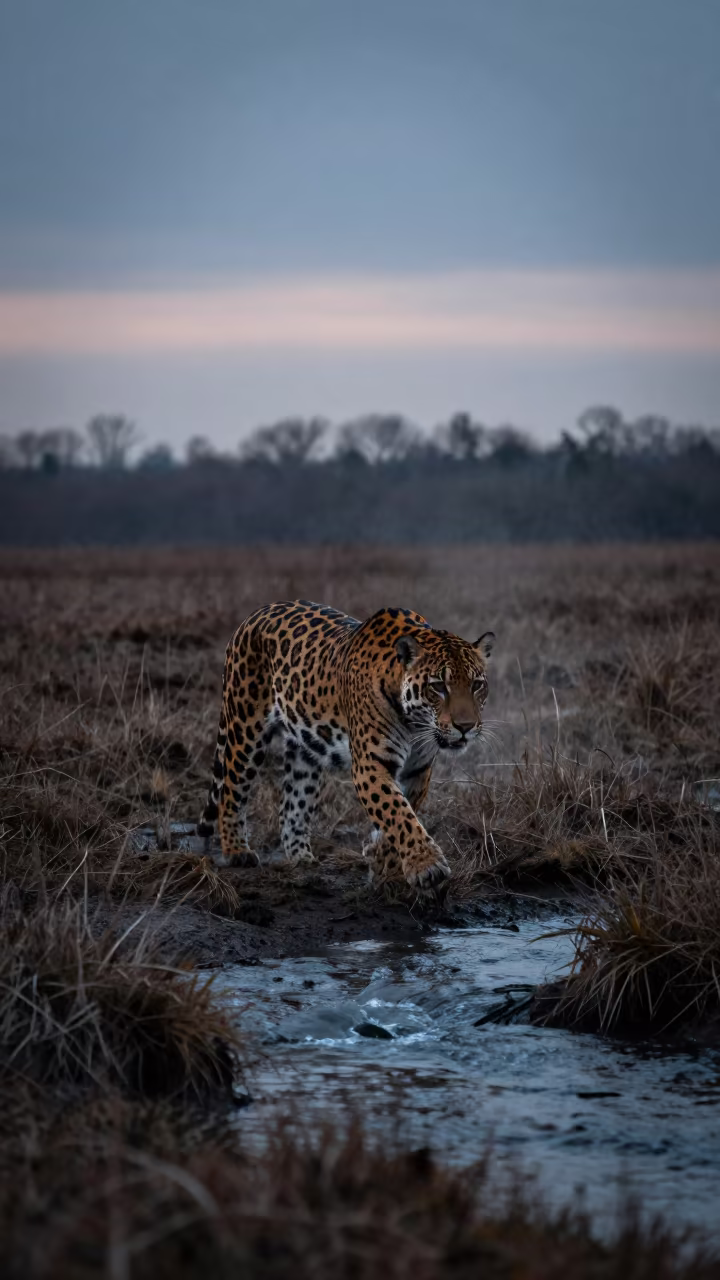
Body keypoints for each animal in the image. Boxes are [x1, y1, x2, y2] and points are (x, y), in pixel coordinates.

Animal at [197, 600, 494, 891]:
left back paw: (301, 857)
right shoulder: (370, 765)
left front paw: (384, 864)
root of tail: (255, 614)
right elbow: (397, 812)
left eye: (477, 685)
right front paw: (426, 865)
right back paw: (237, 851)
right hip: (245, 727)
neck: (415, 724)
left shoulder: (418, 770)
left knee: (291, 804)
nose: (466, 727)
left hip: (304, 749)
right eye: (438, 686)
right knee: (231, 789)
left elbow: (402, 813)